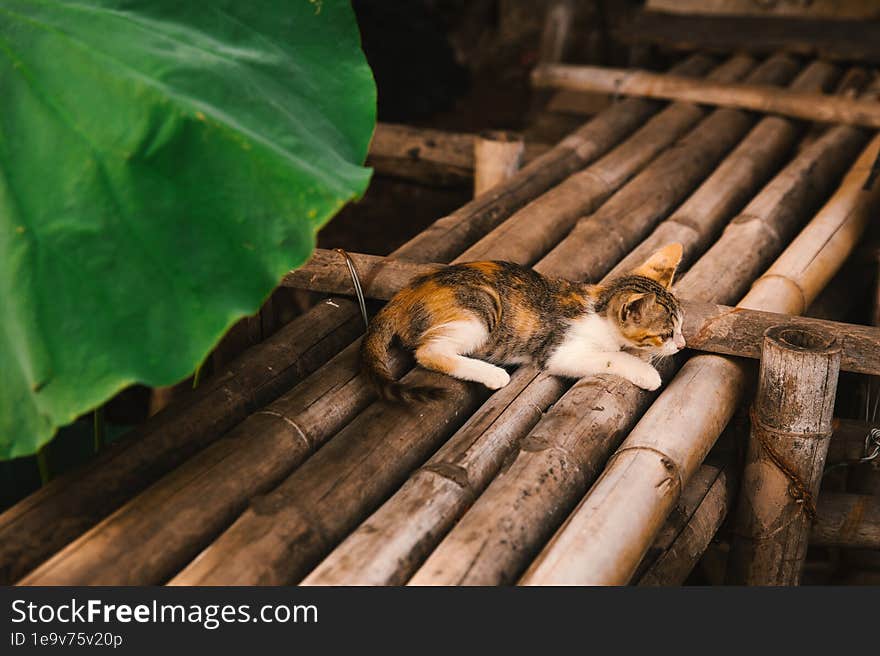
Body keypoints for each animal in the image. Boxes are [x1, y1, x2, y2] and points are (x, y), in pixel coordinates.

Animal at [360, 243, 684, 402]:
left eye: (681, 327)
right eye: (666, 333)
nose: (681, 345)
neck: (600, 310)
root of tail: (405, 292)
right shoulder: (559, 351)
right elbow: (610, 358)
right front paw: (646, 371)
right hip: (481, 308)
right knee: (428, 351)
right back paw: (492, 374)